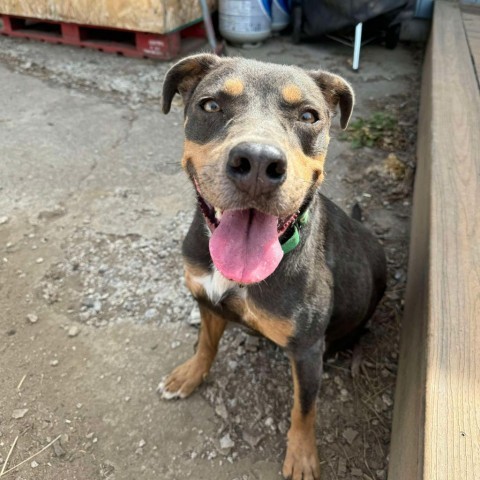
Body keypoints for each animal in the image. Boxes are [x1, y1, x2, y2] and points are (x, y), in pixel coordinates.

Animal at [158, 54, 386, 478]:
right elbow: (206, 344)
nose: (258, 162)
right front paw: (190, 375)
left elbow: (304, 409)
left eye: (309, 115)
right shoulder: (207, 301)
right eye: (211, 105)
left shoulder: (308, 351)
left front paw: (302, 456)